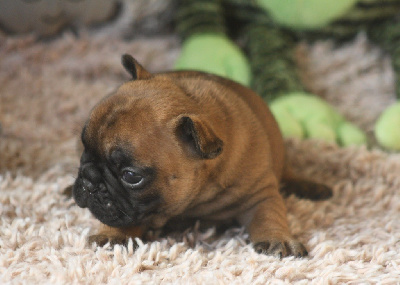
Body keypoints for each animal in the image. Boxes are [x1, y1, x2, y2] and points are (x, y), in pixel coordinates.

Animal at [72, 53, 332, 258]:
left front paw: (278, 239)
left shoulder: (260, 194)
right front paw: (112, 235)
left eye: (131, 176)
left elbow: (269, 216)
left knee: (289, 173)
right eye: (84, 147)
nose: (89, 178)